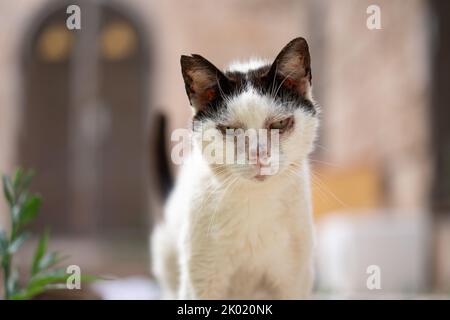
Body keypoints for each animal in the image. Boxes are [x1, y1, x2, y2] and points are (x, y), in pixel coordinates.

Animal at [152, 37, 320, 300]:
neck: (256, 202)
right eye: (231, 130)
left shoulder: (295, 281)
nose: (258, 155)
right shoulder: (201, 280)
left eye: (279, 124)